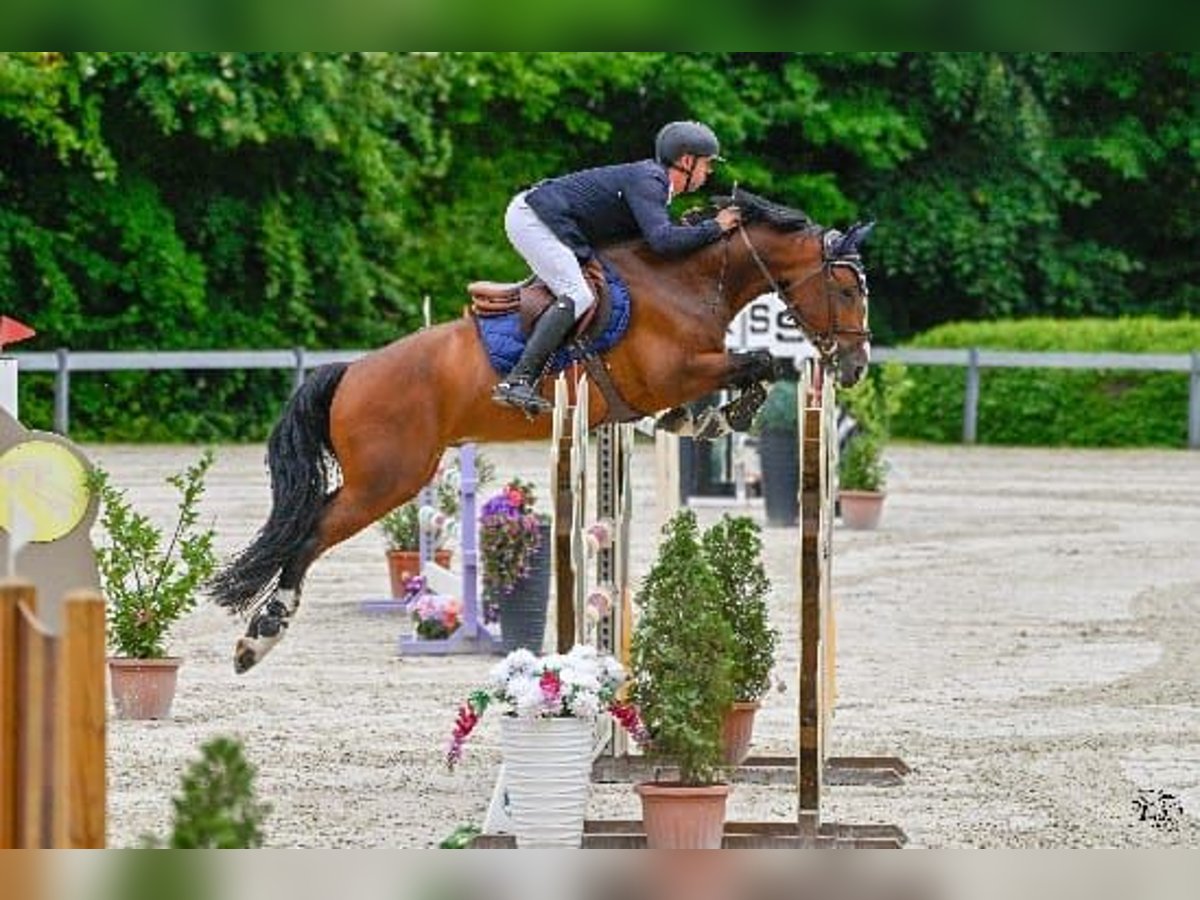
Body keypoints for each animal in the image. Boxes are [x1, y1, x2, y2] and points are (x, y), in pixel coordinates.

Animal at [209, 189, 873, 673]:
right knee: (311, 533)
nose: (855, 366)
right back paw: (258, 638)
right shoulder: (677, 371)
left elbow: (708, 395)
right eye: (845, 288)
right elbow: (754, 363)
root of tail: (350, 372)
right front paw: (731, 411)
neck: (685, 281)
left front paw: (706, 418)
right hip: (388, 480)